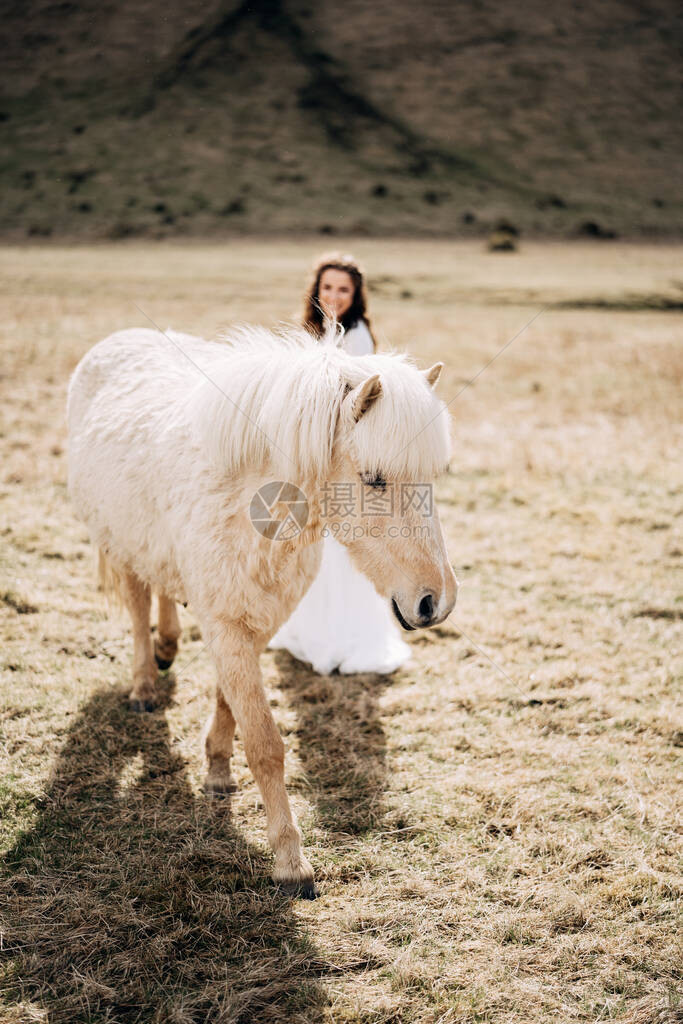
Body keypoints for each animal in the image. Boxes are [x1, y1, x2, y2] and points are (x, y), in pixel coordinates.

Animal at [66, 323, 456, 892]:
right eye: (375, 479)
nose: (437, 602)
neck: (249, 501)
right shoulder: (227, 623)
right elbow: (266, 743)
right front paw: (291, 862)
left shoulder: (256, 619)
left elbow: (230, 703)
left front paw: (217, 770)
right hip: (119, 543)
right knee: (139, 607)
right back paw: (143, 685)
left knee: (162, 591)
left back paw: (167, 646)